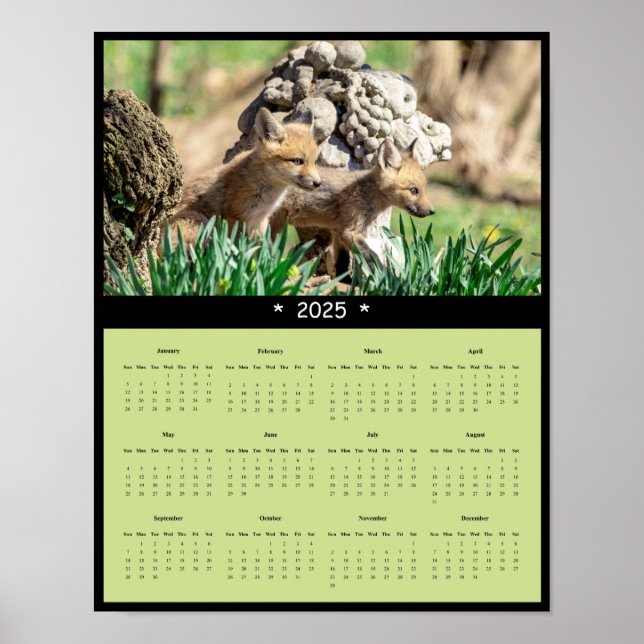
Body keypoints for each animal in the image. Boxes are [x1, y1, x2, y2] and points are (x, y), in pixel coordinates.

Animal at [160, 107, 321, 251]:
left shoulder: (260, 219)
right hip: (200, 221)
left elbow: (262, 250)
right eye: (298, 161)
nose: (318, 183)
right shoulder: (234, 217)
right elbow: (235, 248)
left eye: (314, 161)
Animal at [275, 138, 435, 274]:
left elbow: (342, 263)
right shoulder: (349, 232)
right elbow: (372, 256)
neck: (367, 194)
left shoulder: (338, 231)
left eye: (424, 190)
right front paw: (387, 277)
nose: (432, 211)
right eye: (414, 191)